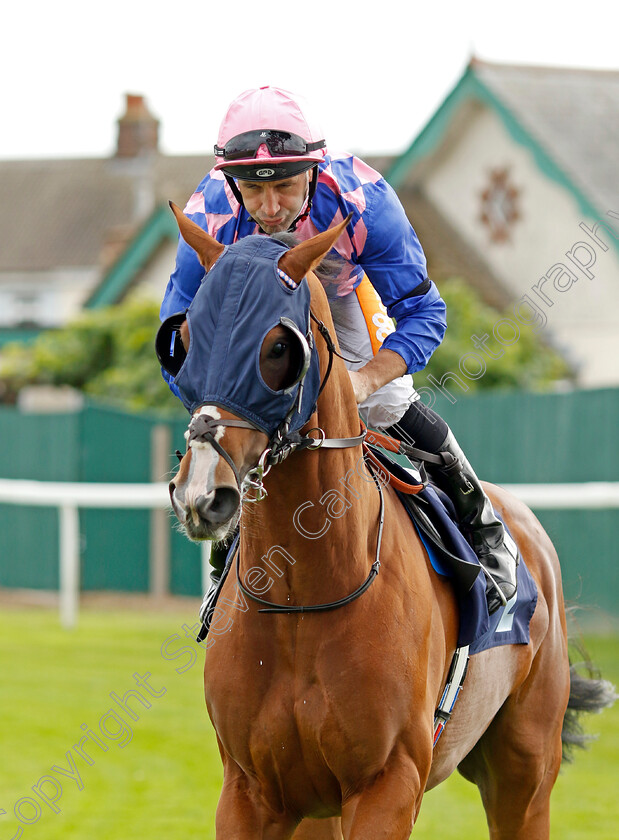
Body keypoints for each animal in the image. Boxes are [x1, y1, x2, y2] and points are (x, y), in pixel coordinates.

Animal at [166, 205, 616, 840]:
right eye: (182, 340)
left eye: (279, 347)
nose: (202, 494)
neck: (303, 598)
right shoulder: (252, 792)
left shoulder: (388, 783)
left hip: (524, 768)